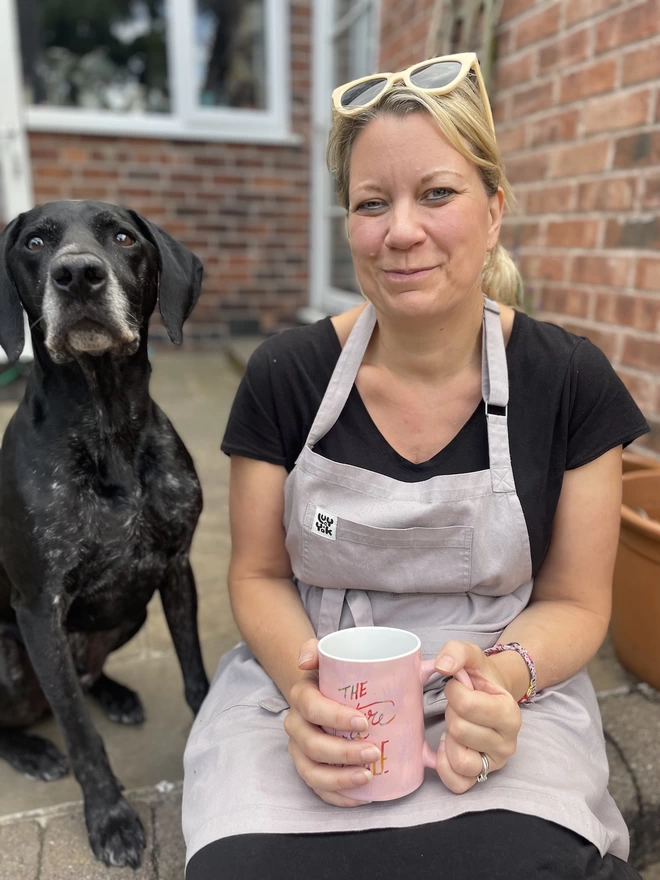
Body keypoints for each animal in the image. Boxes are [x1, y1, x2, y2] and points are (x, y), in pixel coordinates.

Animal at [0, 203, 209, 868]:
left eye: (123, 237)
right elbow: (78, 732)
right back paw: (31, 750)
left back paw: (115, 693)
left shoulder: (174, 567)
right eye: (35, 242)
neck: (107, 424)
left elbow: (195, 671)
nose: (77, 276)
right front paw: (110, 818)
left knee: (86, 678)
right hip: (12, 658)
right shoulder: (39, 608)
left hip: (128, 612)